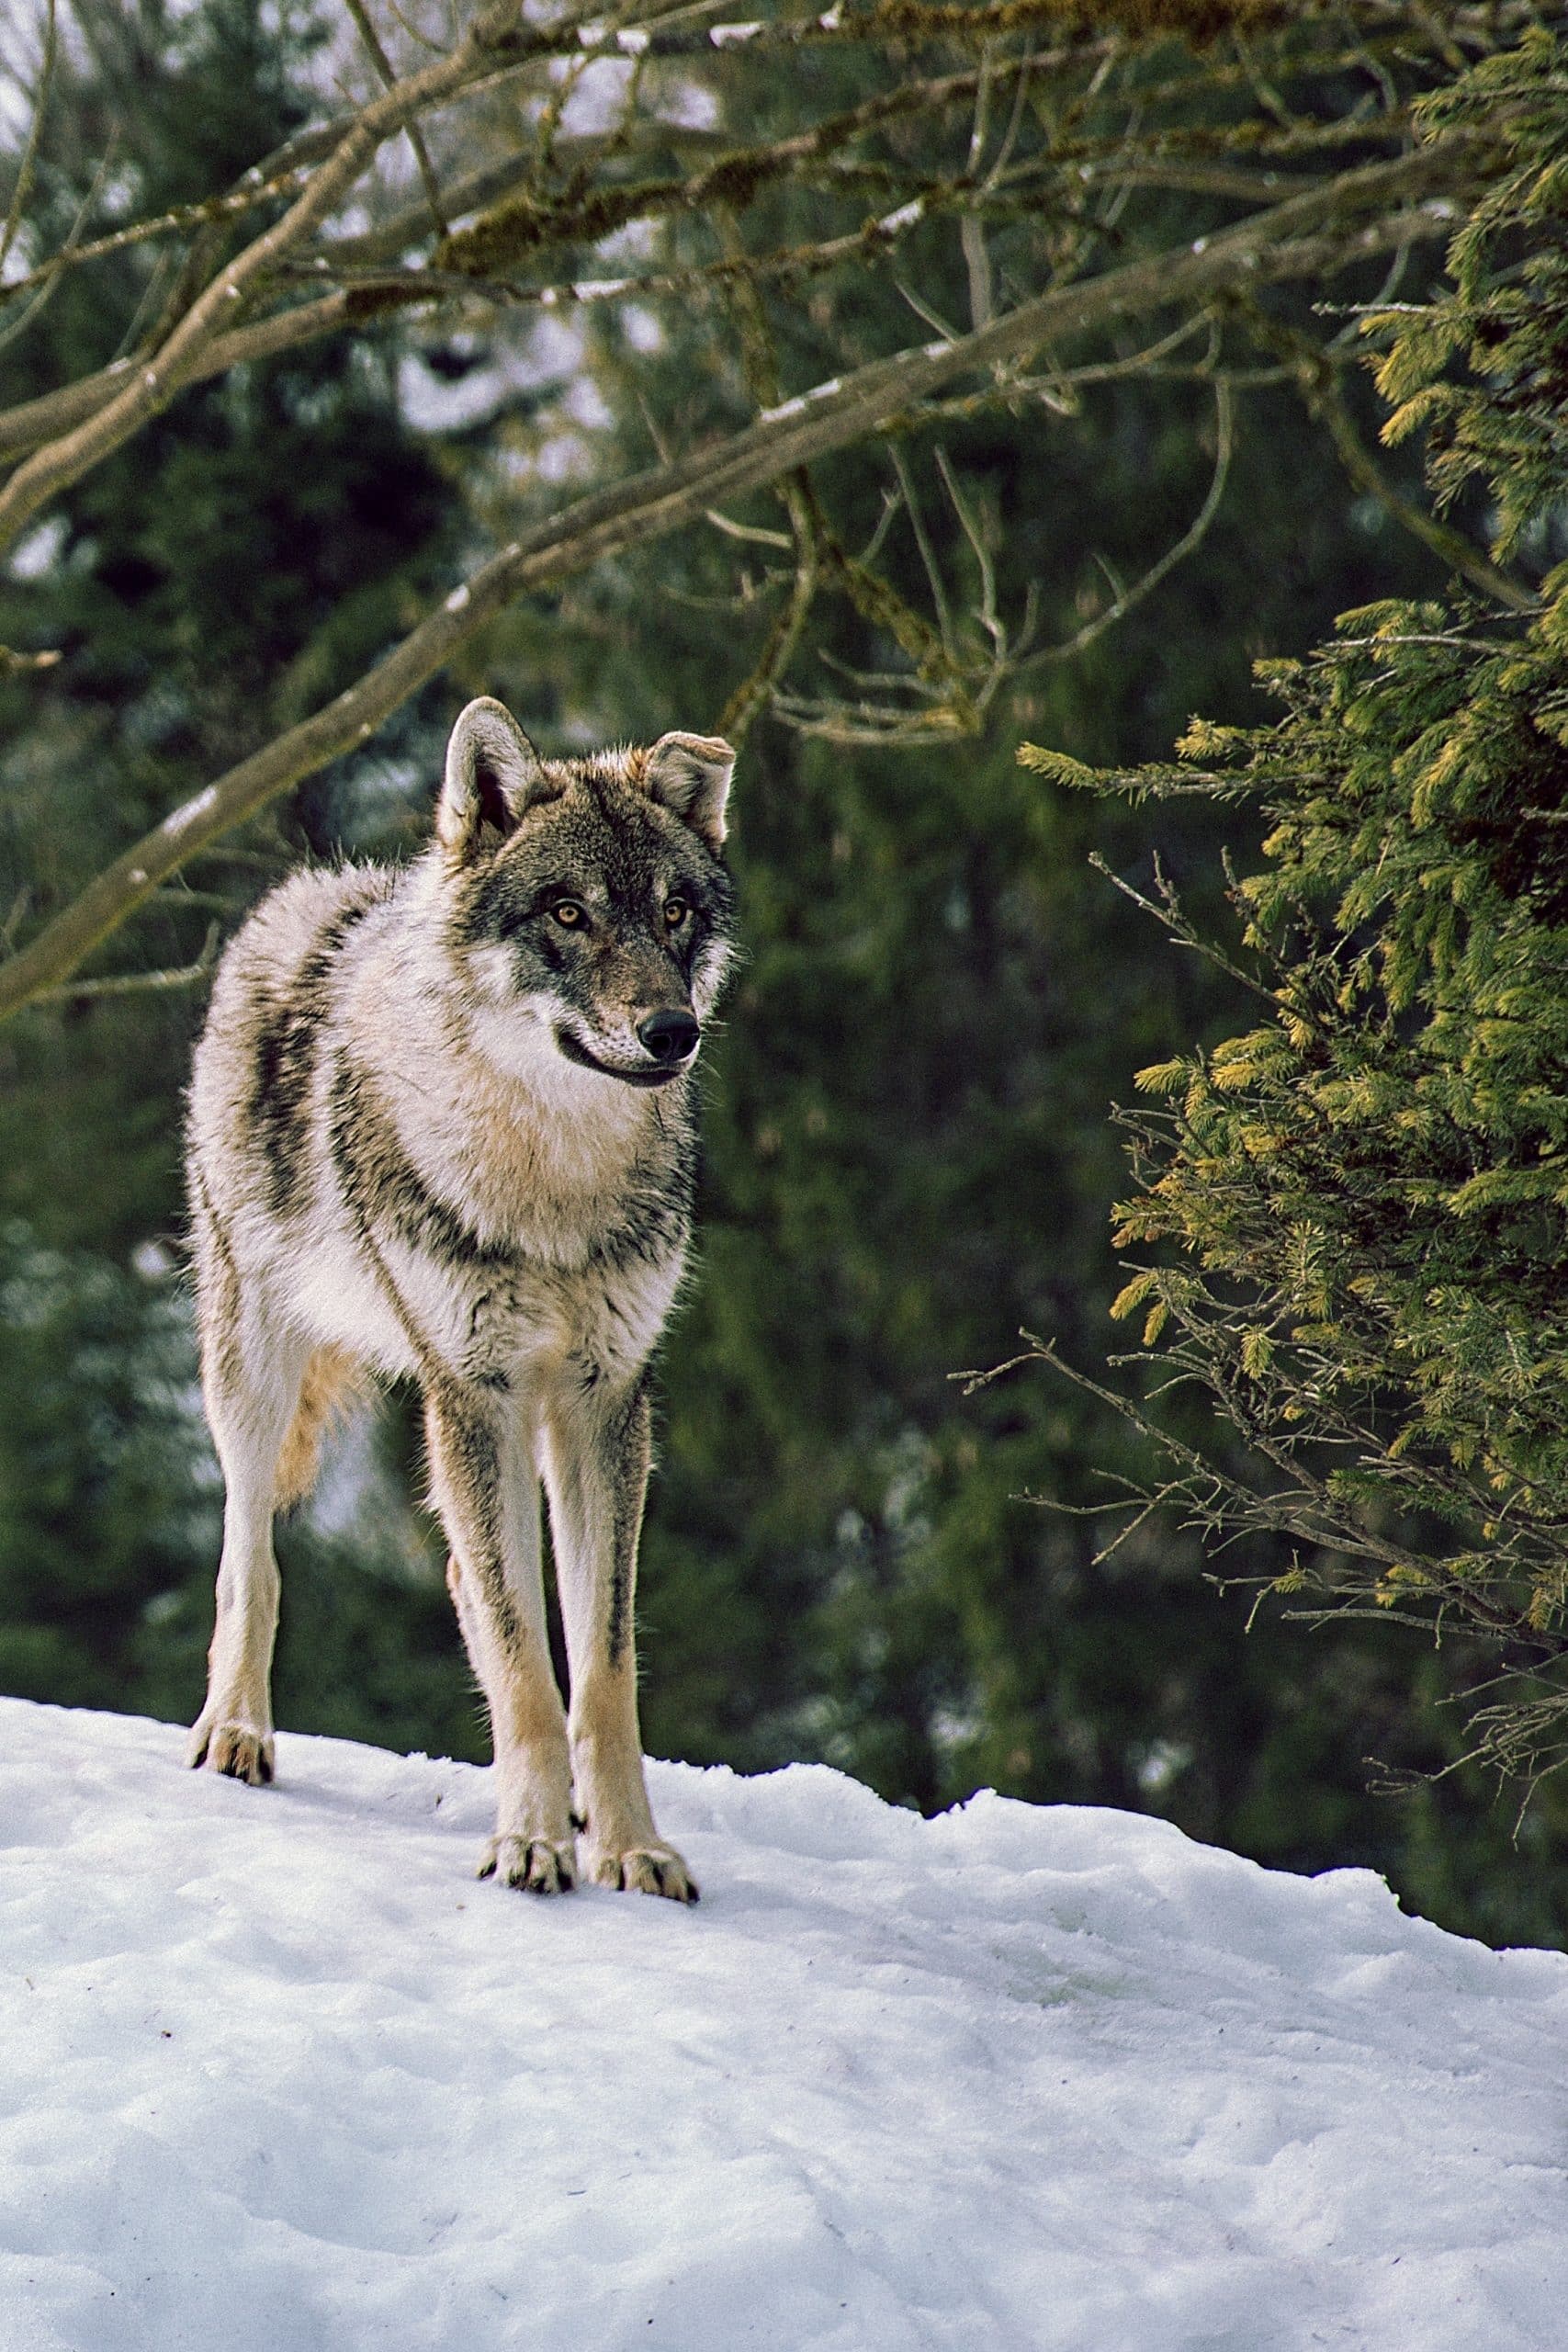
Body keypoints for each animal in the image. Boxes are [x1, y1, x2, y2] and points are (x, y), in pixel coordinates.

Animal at [186, 686, 738, 1900]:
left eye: (675, 912)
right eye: (569, 912)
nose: (673, 1032)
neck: (551, 1180)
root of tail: (301, 896)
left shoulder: (604, 1399)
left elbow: (599, 1663)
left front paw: (628, 1844)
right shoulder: (473, 1390)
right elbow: (527, 1659)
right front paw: (529, 1842)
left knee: (463, 1572)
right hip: (257, 1375)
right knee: (250, 1556)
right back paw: (235, 1733)